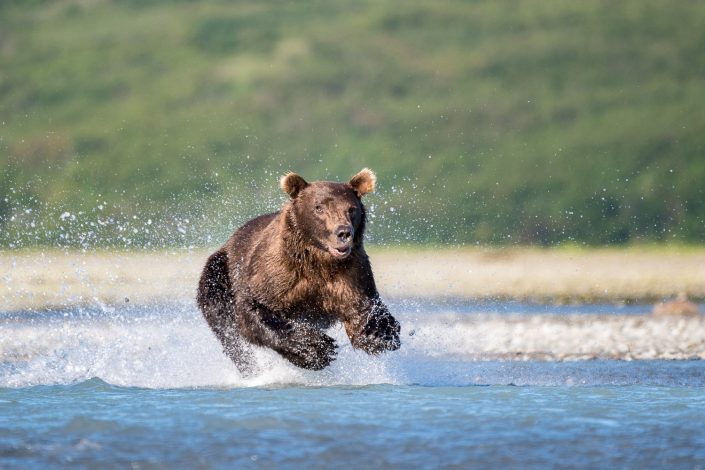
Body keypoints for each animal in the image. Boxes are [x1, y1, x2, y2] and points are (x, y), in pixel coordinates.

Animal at [195, 167, 398, 372]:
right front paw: (316, 348)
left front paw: (377, 334)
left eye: (351, 209)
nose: (343, 232)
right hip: (220, 270)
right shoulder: (277, 274)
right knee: (225, 323)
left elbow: (366, 308)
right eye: (319, 207)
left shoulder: (352, 275)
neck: (319, 261)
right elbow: (253, 309)